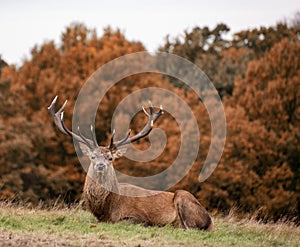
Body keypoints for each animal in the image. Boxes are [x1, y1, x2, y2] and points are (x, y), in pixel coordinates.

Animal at [48, 95, 213, 231]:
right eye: (93, 157)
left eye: (110, 158)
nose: (101, 165)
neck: (108, 208)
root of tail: (210, 221)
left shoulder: (139, 217)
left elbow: (127, 221)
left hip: (183, 196)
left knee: (189, 227)